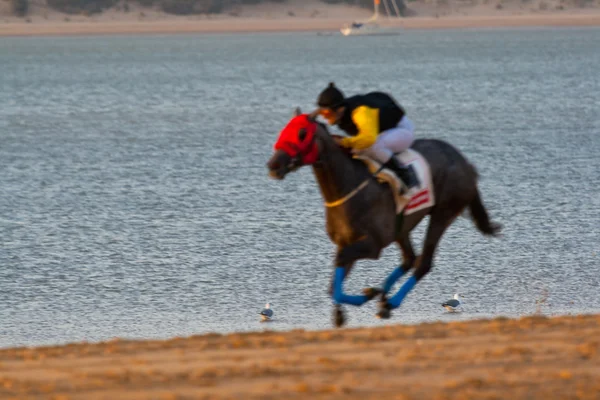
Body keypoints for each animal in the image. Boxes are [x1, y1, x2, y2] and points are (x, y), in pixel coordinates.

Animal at [264, 109, 500, 328]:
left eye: (302, 133)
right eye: (285, 129)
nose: (273, 165)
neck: (348, 187)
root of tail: (465, 162)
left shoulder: (372, 245)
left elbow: (339, 267)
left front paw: (353, 305)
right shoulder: (346, 242)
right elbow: (333, 283)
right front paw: (355, 302)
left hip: (442, 214)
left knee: (423, 262)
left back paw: (390, 302)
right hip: (402, 228)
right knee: (409, 258)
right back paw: (383, 296)